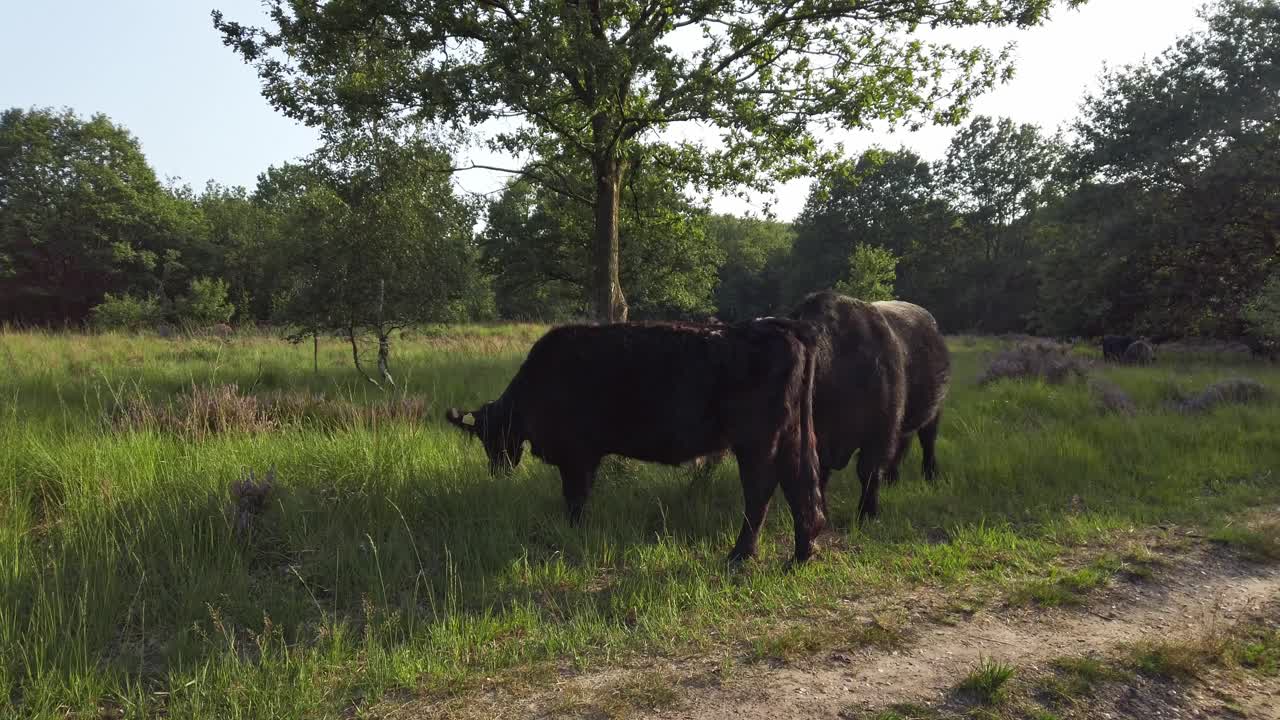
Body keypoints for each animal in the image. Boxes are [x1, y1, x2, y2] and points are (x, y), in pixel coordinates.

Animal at [445, 319, 826, 565]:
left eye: (491, 435)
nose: (498, 470)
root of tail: (784, 328)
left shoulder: (577, 454)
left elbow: (575, 498)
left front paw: (573, 533)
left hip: (756, 440)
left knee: (762, 488)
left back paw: (740, 554)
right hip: (792, 434)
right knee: (799, 480)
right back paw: (802, 553)